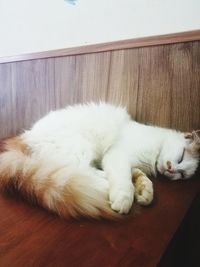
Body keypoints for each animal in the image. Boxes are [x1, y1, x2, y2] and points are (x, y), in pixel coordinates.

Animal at [0, 102, 199, 220]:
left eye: (181, 175)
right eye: (181, 156)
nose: (171, 169)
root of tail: (24, 139)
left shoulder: (130, 164)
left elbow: (141, 178)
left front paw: (145, 192)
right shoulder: (117, 156)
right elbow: (124, 182)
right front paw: (125, 197)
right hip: (79, 148)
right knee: (78, 170)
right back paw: (103, 184)